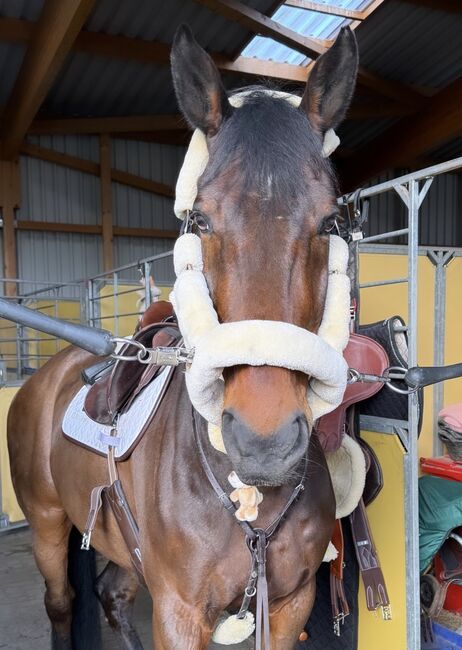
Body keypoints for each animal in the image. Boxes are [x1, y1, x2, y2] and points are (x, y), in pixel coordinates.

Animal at [7, 25, 358, 650]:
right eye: (201, 220)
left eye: (329, 222)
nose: (264, 442)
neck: (249, 499)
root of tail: (43, 378)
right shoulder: (178, 610)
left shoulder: (289, 604)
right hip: (48, 524)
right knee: (62, 603)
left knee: (112, 595)